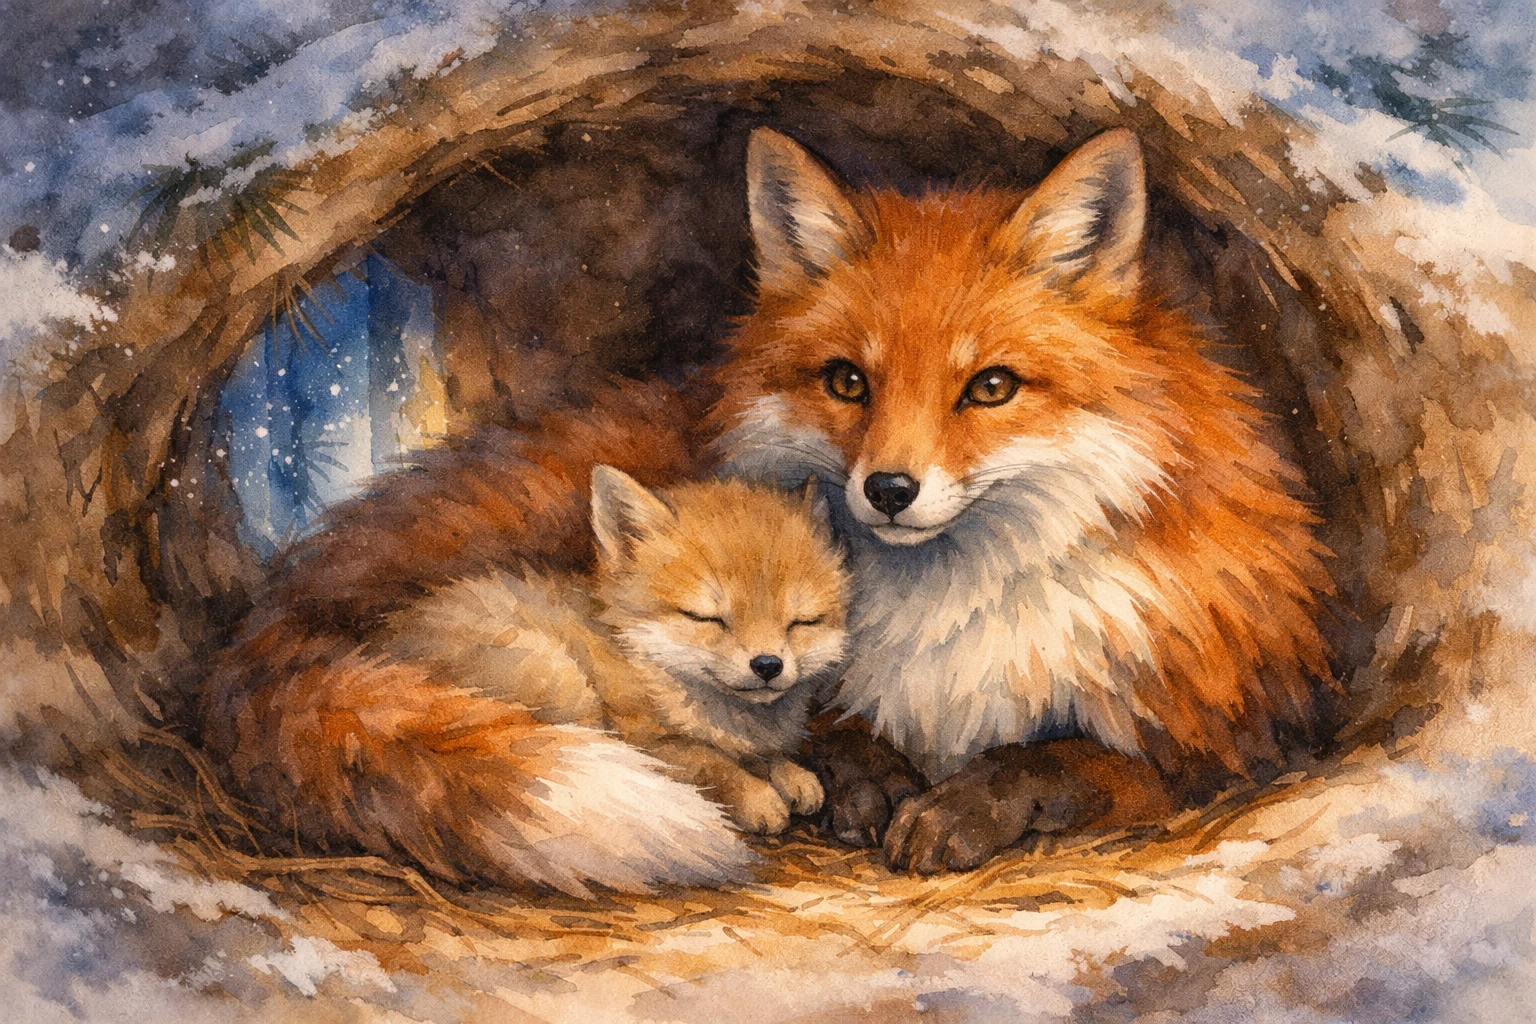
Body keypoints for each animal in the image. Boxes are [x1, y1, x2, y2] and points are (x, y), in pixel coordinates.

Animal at [204, 466, 848, 896]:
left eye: (801, 621)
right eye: (707, 618)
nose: (767, 665)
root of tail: (376, 661)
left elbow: (770, 760)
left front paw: (792, 775)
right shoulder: (649, 738)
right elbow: (711, 763)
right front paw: (759, 796)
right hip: (562, 682)